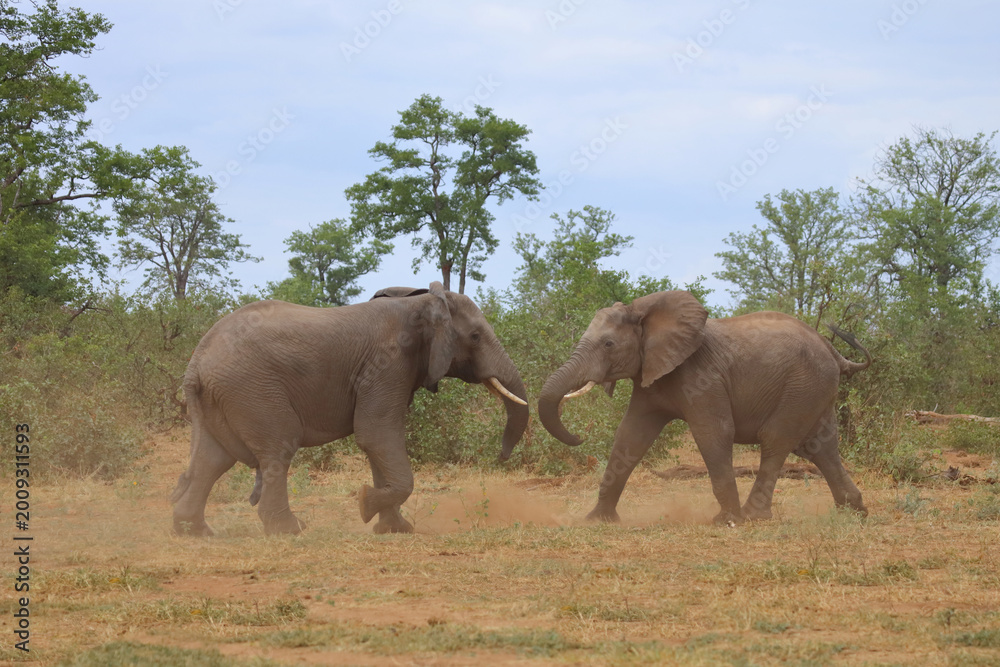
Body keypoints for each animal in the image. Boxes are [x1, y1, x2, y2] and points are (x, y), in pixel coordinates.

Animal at [170, 282, 528, 536]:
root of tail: (196, 362)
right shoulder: (387, 363)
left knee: (212, 459)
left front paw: (394, 529)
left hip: (222, 397)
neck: (421, 300)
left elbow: (379, 443)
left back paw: (195, 532)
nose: (501, 457)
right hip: (252, 389)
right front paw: (365, 504)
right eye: (476, 336)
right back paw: (290, 530)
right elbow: (377, 435)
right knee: (277, 450)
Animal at [537, 290, 871, 525]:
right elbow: (630, 436)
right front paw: (598, 520)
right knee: (820, 446)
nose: (579, 437)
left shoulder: (702, 376)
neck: (646, 313)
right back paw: (853, 511)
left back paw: (752, 516)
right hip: (816, 388)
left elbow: (714, 433)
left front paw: (727, 521)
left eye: (608, 344)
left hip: (802, 386)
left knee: (776, 440)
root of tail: (832, 349)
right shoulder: (650, 374)